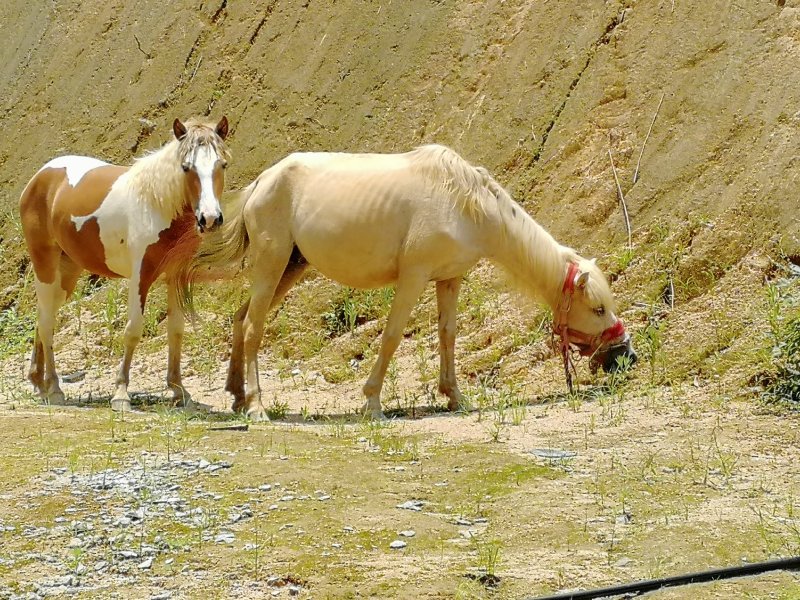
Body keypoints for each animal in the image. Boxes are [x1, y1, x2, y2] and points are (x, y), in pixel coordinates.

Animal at [19, 116, 230, 412]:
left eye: (222, 165)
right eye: (186, 167)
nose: (209, 219)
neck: (157, 204)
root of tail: (39, 177)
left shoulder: (174, 276)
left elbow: (176, 331)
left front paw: (179, 391)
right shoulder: (140, 275)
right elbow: (133, 330)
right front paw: (121, 394)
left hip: (66, 274)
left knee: (42, 315)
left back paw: (39, 383)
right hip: (45, 264)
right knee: (48, 322)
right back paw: (54, 389)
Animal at [192, 144, 636, 420]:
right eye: (598, 308)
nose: (626, 355)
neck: (465, 202)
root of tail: (262, 181)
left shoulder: (450, 278)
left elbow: (448, 335)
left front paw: (455, 397)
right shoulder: (414, 276)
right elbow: (392, 335)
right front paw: (372, 401)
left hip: (290, 267)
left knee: (240, 318)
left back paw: (237, 396)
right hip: (273, 263)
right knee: (254, 326)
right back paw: (256, 407)